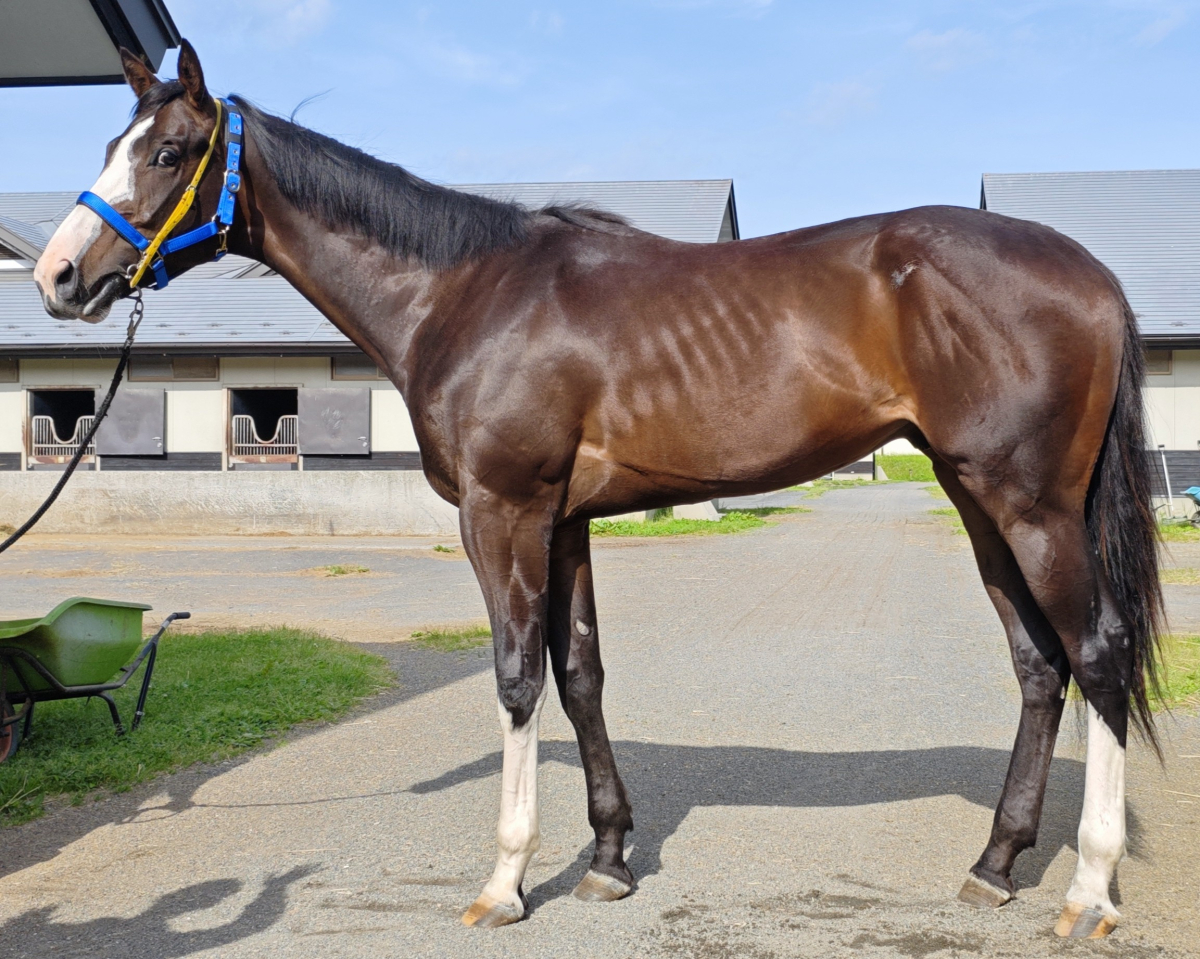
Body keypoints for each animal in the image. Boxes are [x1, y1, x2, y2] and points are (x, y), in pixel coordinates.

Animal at [32, 41, 1162, 939]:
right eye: (111, 145)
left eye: (167, 153)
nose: (58, 277)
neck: (465, 292)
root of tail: (1093, 273)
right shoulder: (566, 521)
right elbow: (580, 676)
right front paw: (610, 861)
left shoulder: (504, 511)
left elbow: (516, 677)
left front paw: (504, 879)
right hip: (979, 499)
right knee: (1040, 666)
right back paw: (996, 864)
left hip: (1029, 504)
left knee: (1097, 654)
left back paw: (1088, 890)